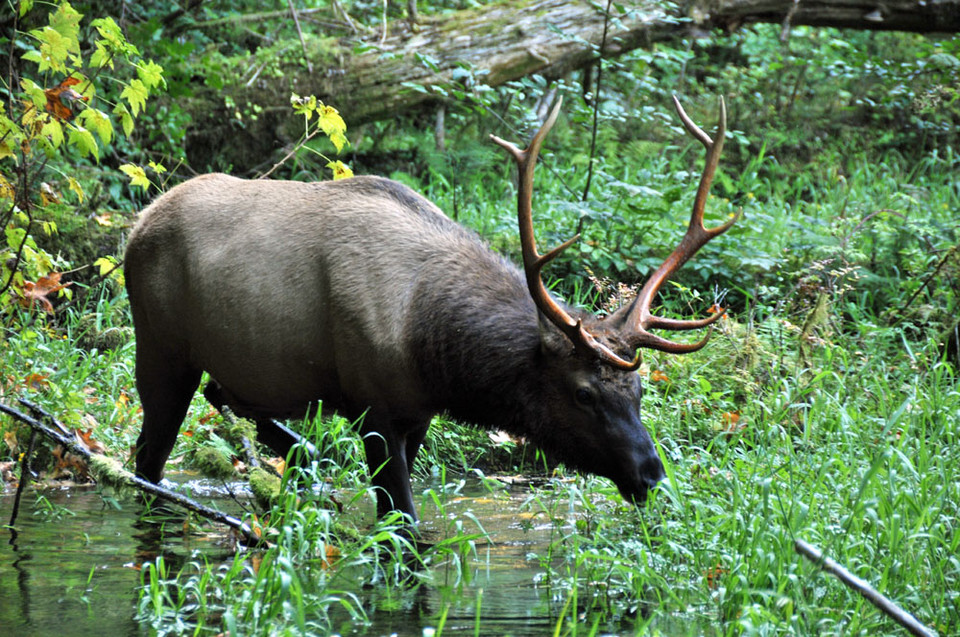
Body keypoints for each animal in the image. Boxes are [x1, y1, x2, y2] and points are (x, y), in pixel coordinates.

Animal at [127, 95, 740, 520]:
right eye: (583, 393)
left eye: (639, 389)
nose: (650, 473)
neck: (430, 346)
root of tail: (138, 225)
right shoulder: (372, 405)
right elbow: (402, 521)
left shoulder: (416, 411)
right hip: (160, 348)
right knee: (147, 461)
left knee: (222, 397)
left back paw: (298, 453)